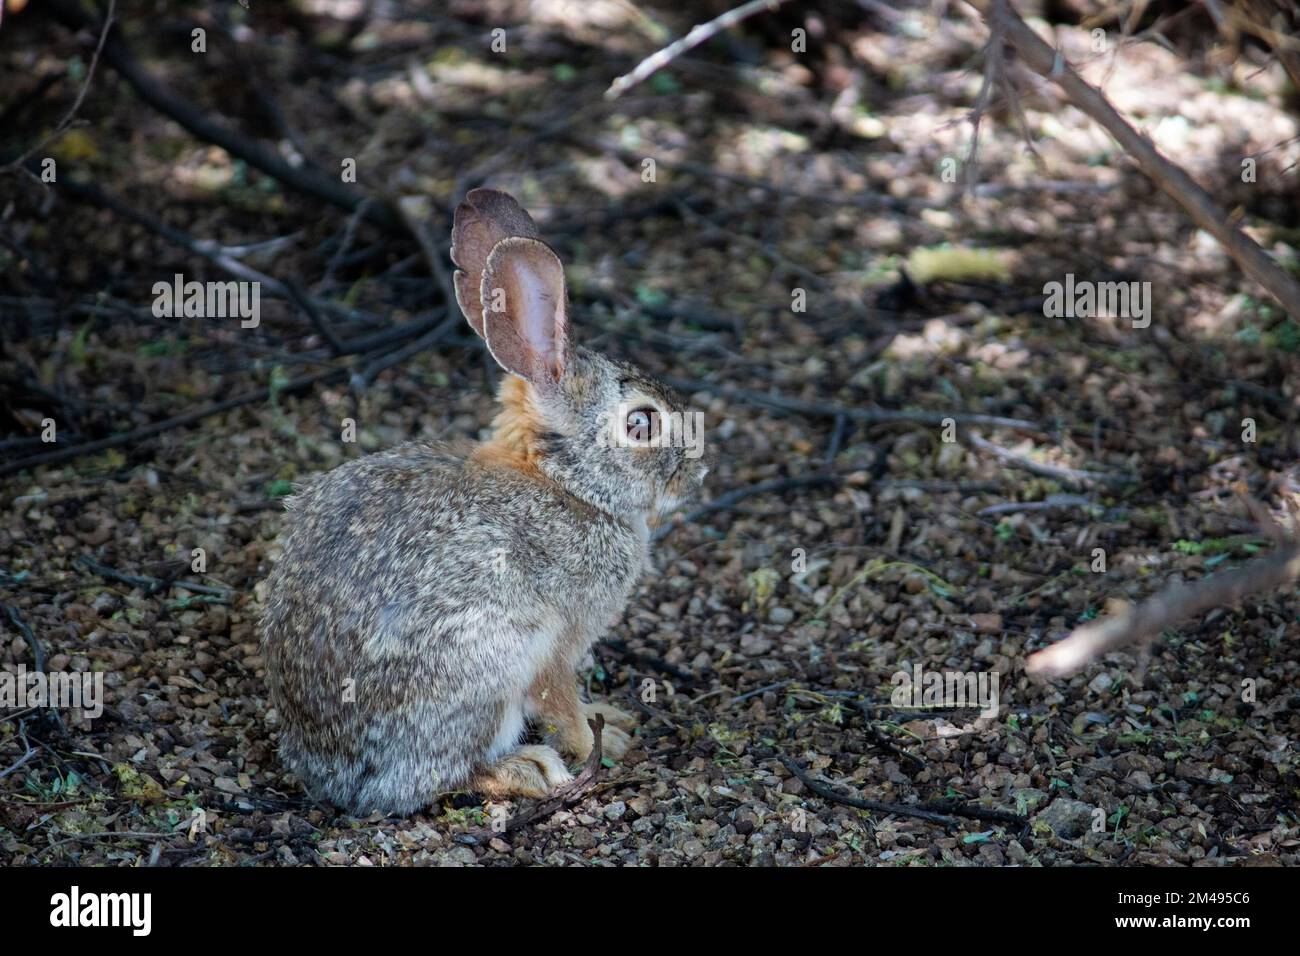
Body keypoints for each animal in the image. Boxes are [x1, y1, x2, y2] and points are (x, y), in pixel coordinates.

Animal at [261, 188, 712, 816]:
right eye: (642, 423)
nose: (698, 471)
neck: (567, 483)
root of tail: (334, 777)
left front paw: (611, 716)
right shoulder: (555, 640)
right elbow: (561, 701)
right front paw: (602, 739)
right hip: (486, 664)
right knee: (445, 775)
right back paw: (529, 768)